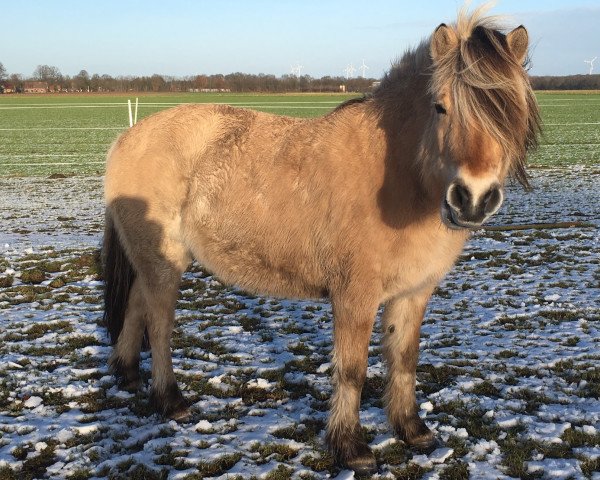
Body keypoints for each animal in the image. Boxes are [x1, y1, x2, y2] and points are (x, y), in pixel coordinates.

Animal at [104, 5, 544, 474]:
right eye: (441, 107)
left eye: (510, 113)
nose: (473, 198)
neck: (396, 175)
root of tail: (126, 138)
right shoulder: (354, 296)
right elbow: (351, 369)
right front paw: (351, 446)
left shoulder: (413, 293)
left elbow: (404, 358)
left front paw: (412, 429)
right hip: (165, 261)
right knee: (159, 324)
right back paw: (170, 400)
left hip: (151, 259)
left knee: (137, 304)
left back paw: (128, 375)